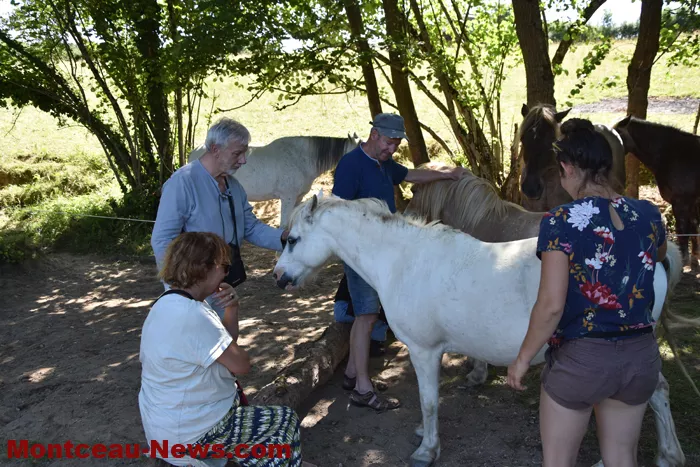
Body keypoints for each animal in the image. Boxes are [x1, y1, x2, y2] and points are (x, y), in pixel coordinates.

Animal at [272, 194, 681, 467]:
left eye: (292, 240)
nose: (279, 277)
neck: (404, 261)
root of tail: (655, 258)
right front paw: (424, 434)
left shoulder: (424, 351)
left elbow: (429, 401)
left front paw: (427, 450)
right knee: (658, 392)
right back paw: (666, 455)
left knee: (655, 395)